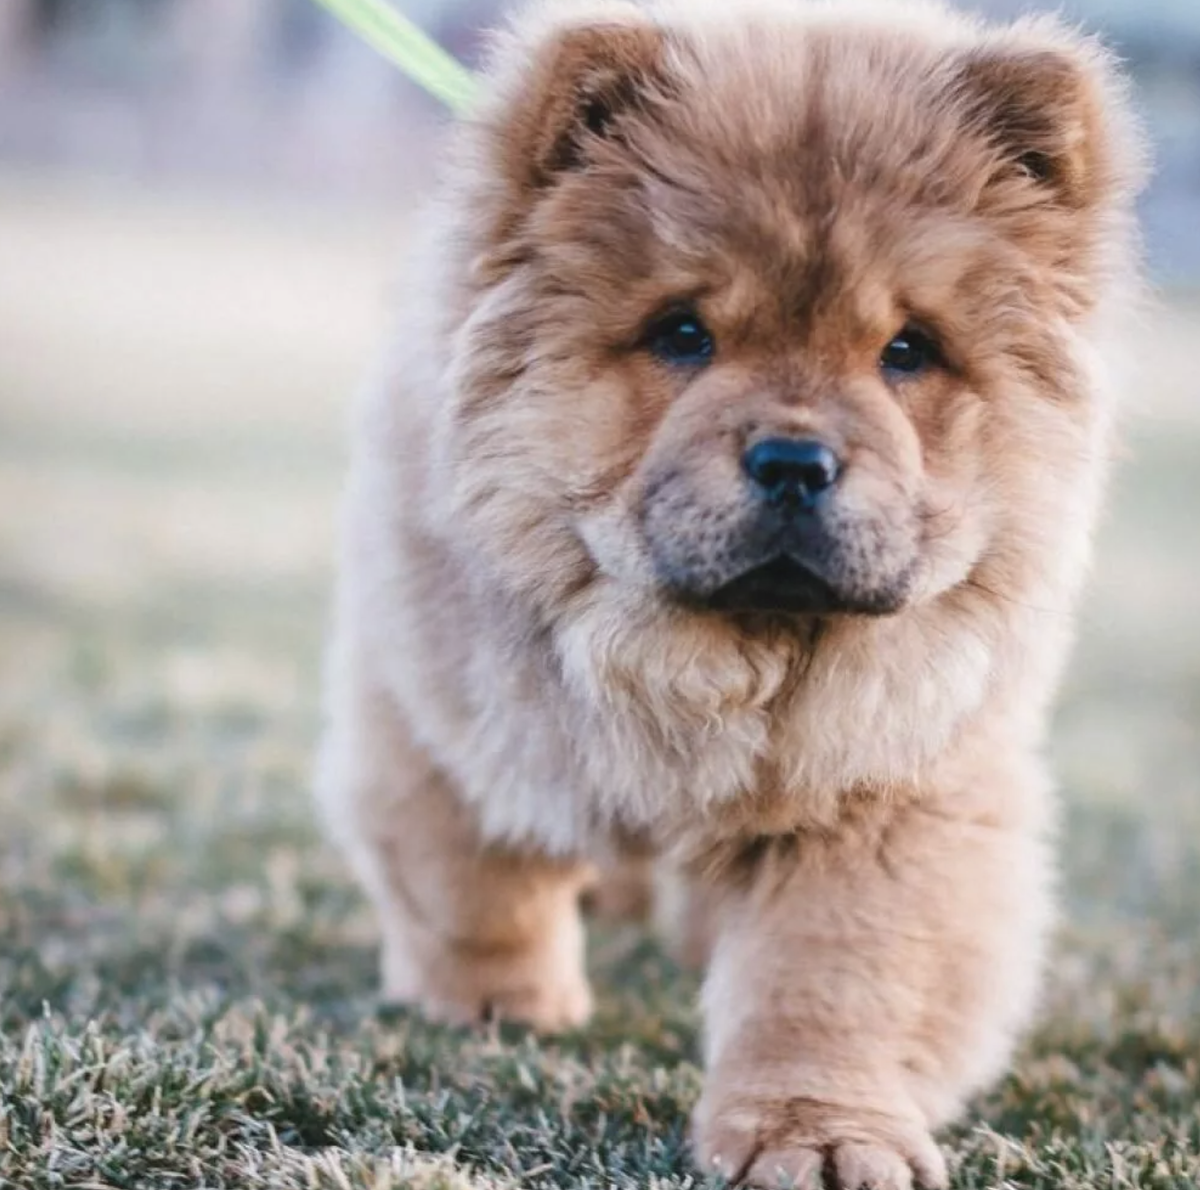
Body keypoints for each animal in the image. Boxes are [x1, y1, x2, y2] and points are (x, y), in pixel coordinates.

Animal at [316, 4, 1142, 1185]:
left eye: (907, 350)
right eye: (683, 334)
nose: (795, 459)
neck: (711, 663)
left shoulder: (891, 788)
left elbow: (832, 974)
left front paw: (819, 1130)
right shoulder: (438, 704)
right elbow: (475, 876)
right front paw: (498, 1005)